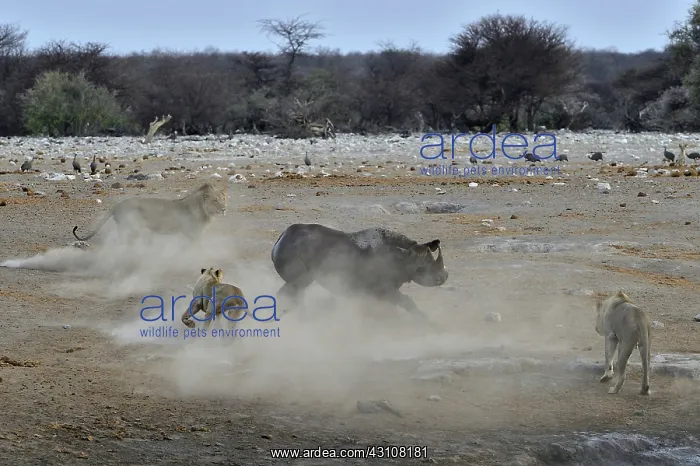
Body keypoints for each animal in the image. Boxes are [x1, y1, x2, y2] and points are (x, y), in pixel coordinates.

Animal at [270, 223, 448, 320]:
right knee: (297, 284)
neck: (405, 257)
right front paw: (425, 321)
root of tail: (280, 239)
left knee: (297, 288)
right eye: (422, 269)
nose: (443, 277)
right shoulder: (383, 288)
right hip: (295, 255)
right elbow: (406, 302)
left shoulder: (375, 291)